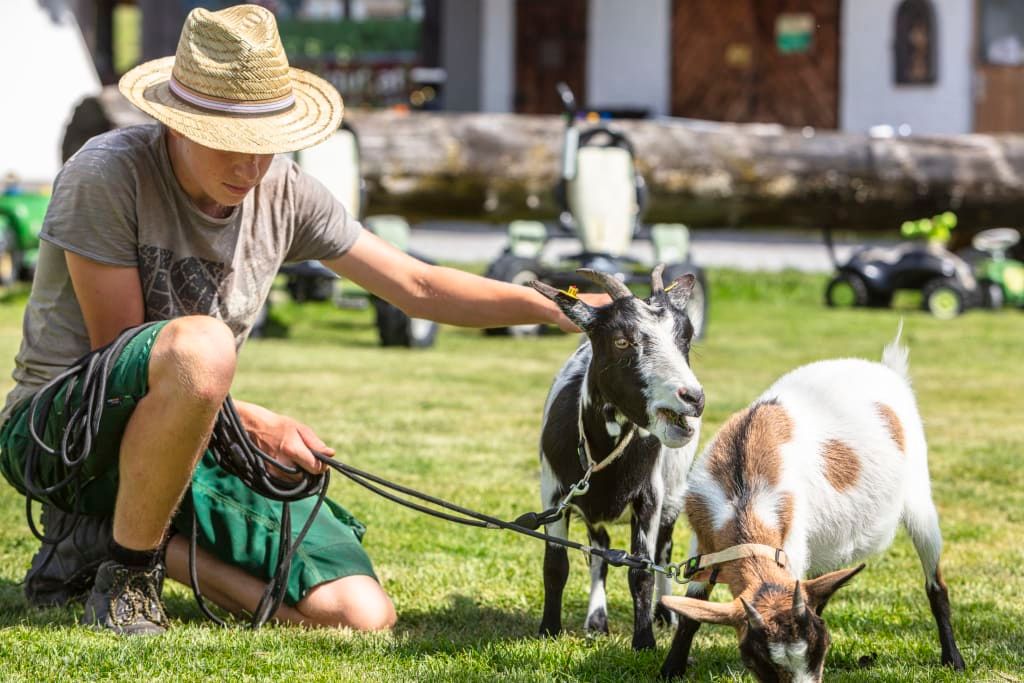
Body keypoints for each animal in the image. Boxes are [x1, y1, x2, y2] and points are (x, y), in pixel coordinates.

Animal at [529, 266, 704, 651]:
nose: (693, 398)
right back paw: (596, 620)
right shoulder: (554, 494)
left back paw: (665, 614)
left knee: (664, 550)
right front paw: (548, 629)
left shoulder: (650, 497)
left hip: (673, 494)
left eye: (686, 337)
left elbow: (642, 570)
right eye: (622, 341)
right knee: (601, 548)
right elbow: (556, 565)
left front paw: (645, 641)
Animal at [659, 326, 965, 681]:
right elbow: (692, 612)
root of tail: (888, 370)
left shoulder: (791, 542)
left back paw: (953, 658)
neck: (741, 487)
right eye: (756, 661)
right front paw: (671, 668)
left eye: (823, 647)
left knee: (935, 582)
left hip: (919, 495)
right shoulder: (703, 540)